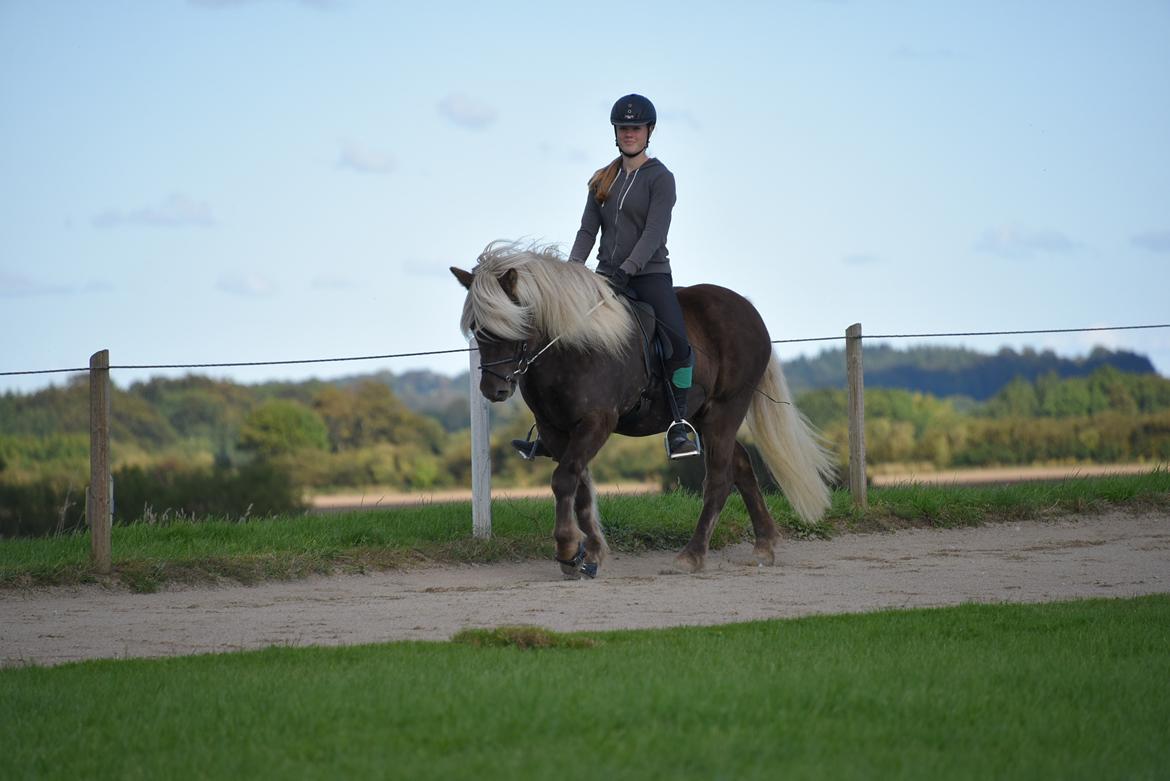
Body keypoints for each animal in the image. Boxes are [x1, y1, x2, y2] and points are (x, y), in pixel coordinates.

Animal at [451, 240, 837, 577]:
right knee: (740, 465)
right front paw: (590, 553)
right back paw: (765, 545)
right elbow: (579, 486)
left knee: (720, 478)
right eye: (476, 328)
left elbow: (564, 479)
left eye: (514, 322)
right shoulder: (555, 429)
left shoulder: (597, 421)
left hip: (726, 409)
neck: (569, 347)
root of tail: (747, 308)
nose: (494, 389)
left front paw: (568, 550)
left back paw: (692, 555)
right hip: (704, 415)